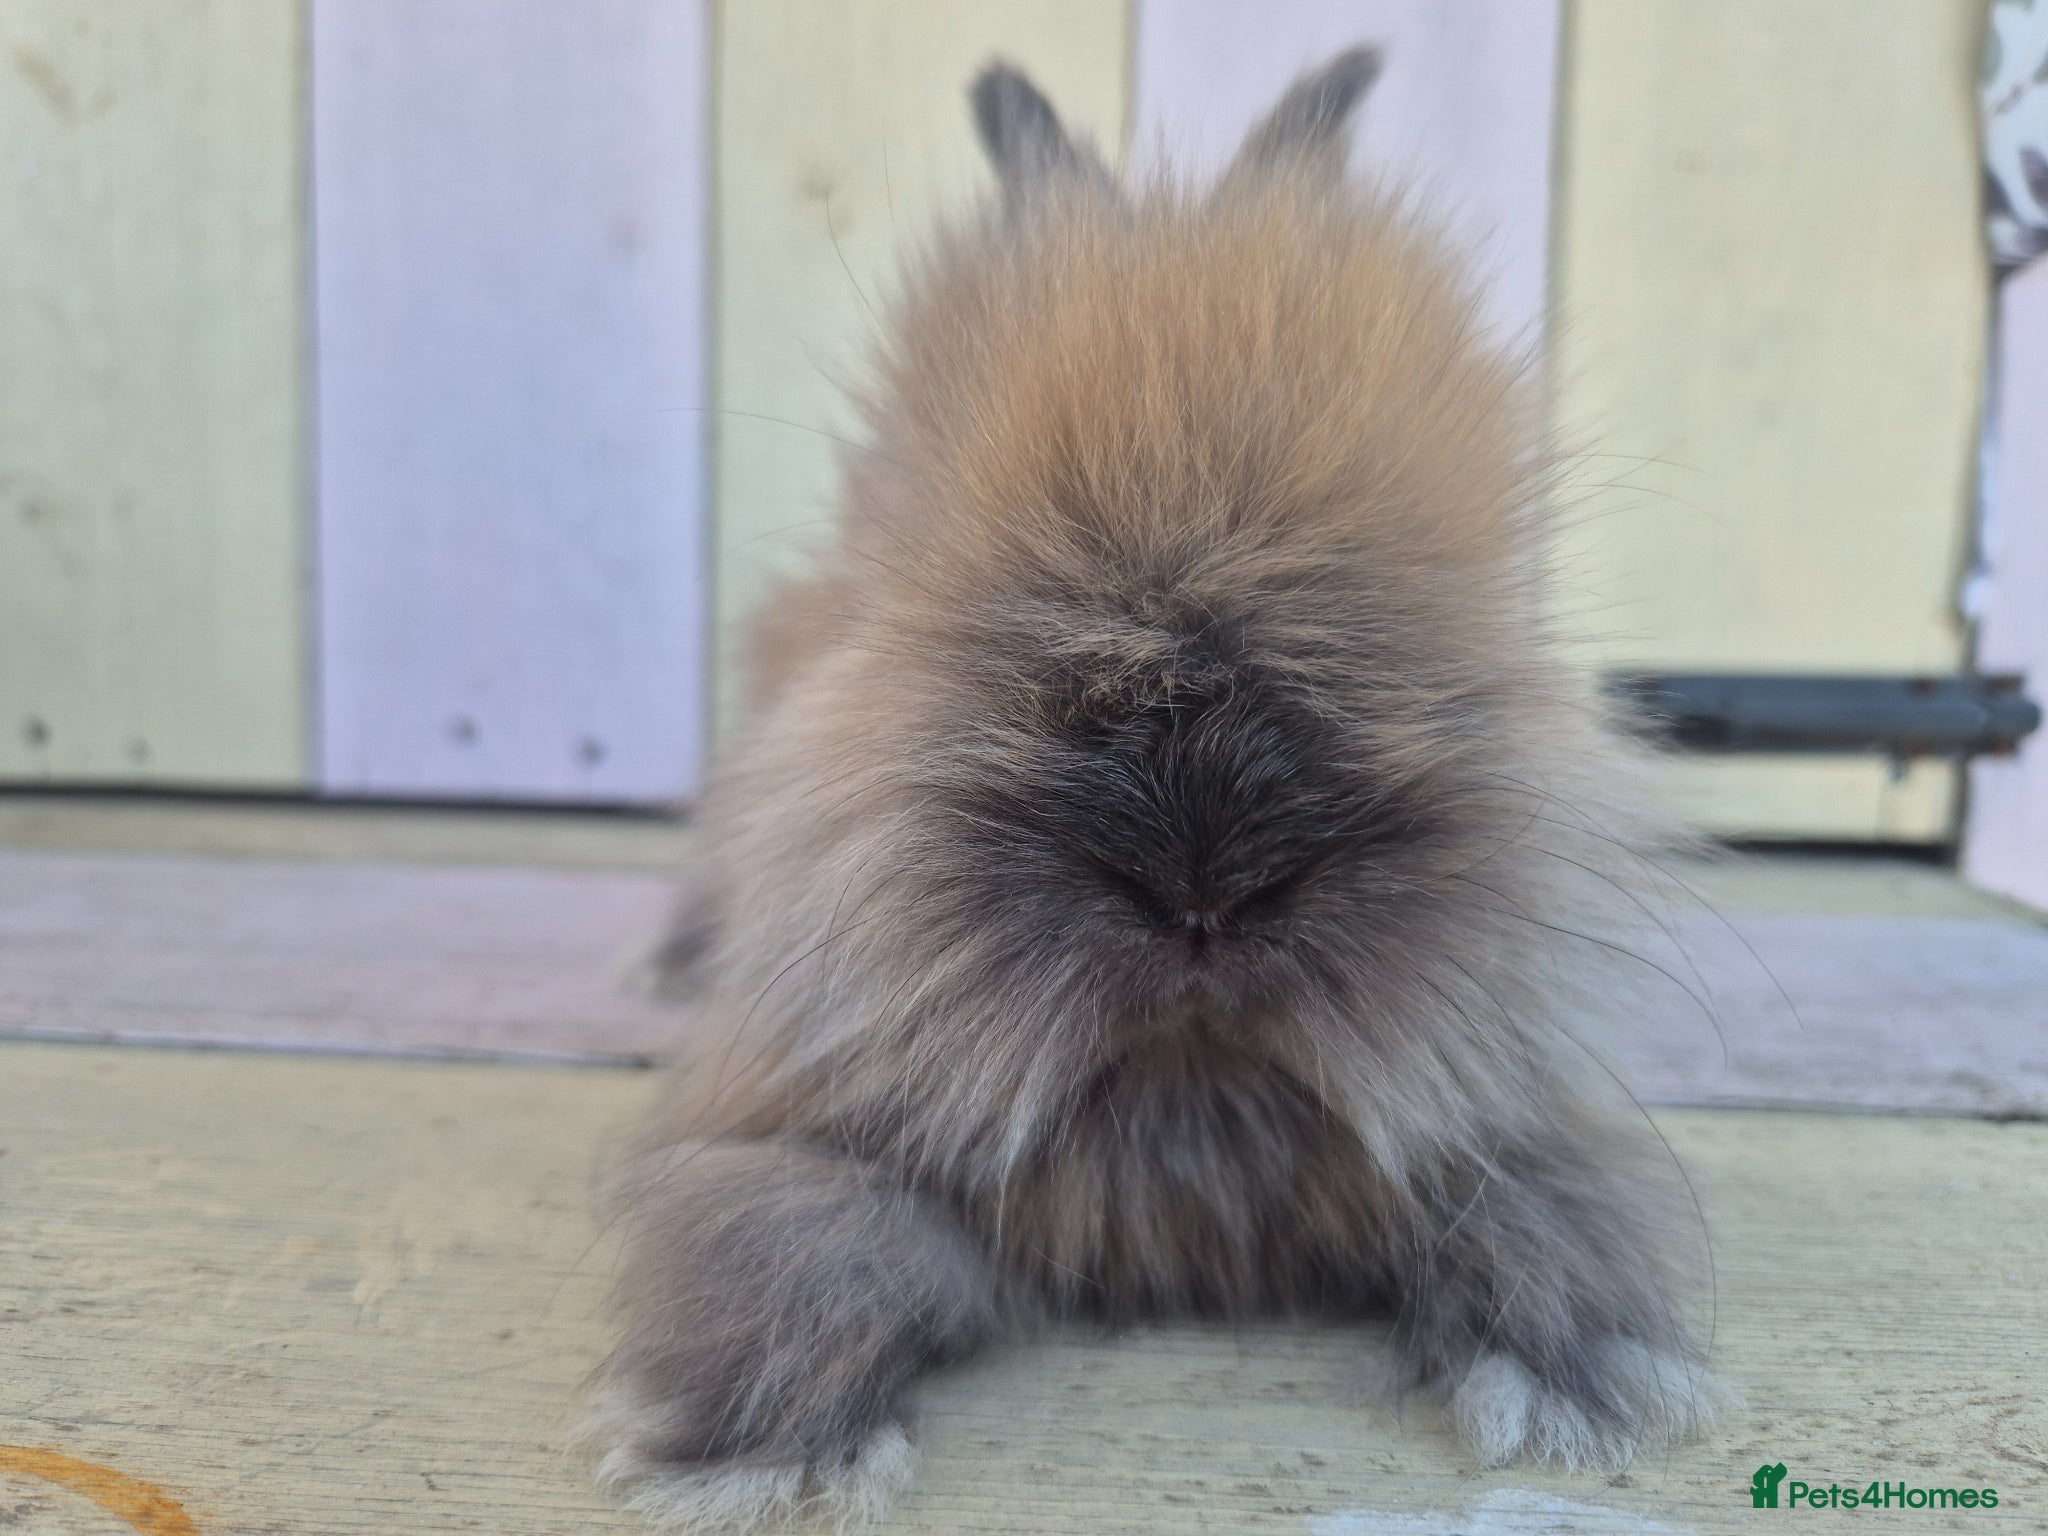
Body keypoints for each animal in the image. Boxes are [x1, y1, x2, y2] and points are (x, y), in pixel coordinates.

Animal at [585, 48, 1724, 1534]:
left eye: (1439, 601)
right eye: (938, 573)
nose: (1202, 887)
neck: (1183, 1110)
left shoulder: (1500, 1127)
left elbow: (1543, 1209)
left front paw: (1575, 1383)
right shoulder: (786, 1131)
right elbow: (792, 1242)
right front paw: (758, 1451)